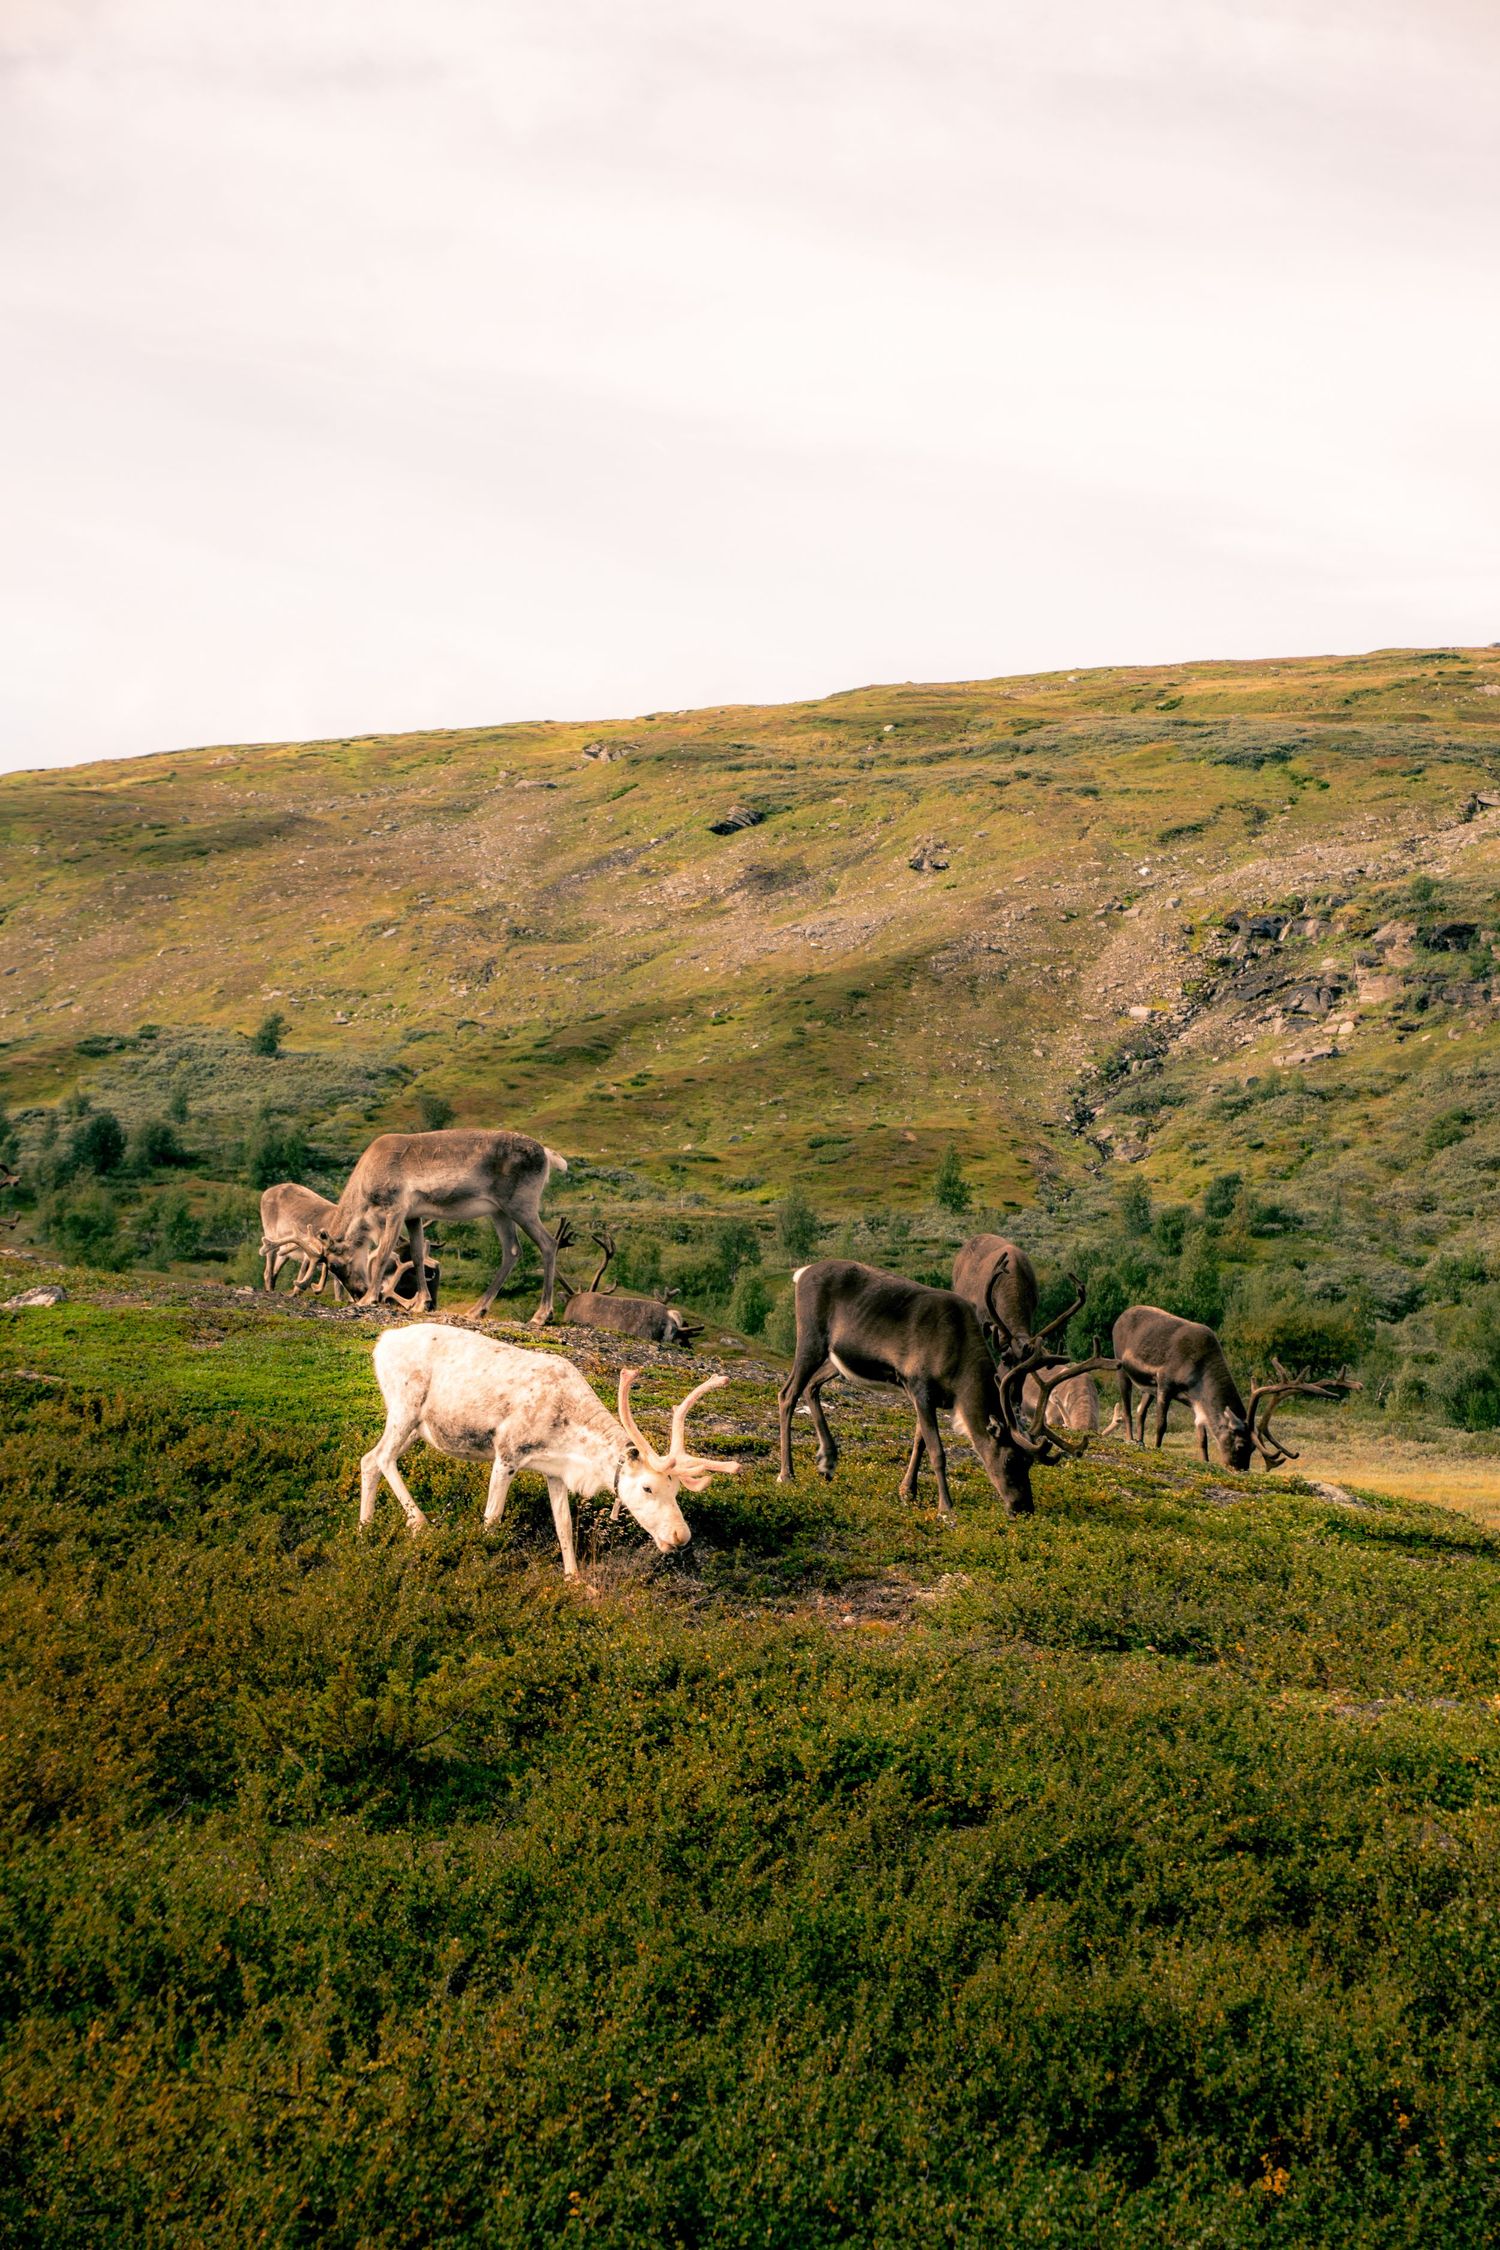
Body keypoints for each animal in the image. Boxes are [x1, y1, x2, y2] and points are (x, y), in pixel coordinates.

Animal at [318, 1128, 566, 1323]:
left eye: (334, 1265)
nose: (357, 1294)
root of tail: (546, 1153)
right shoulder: (413, 1216)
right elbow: (417, 1255)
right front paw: (421, 1303)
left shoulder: (395, 1210)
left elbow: (382, 1254)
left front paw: (369, 1299)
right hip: (499, 1211)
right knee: (512, 1250)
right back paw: (476, 1310)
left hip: (521, 1206)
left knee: (548, 1243)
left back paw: (542, 1315)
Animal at [360, 1324, 741, 1579]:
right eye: (648, 1488)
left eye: (677, 1491)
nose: (681, 1536)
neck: (573, 1448)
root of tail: (381, 1342)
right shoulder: (507, 1452)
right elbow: (492, 1518)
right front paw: (481, 1558)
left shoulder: (554, 1471)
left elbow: (564, 1527)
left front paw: (576, 1581)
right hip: (405, 1407)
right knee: (382, 1457)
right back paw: (419, 1522)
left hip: (416, 1426)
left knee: (368, 1459)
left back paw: (365, 1529)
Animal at [777, 1259, 1114, 1517]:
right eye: (1010, 1459)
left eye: (1030, 1464)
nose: (1023, 1508)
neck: (959, 1361)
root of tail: (801, 1273)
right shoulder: (919, 1385)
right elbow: (937, 1451)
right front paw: (945, 1507)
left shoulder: (932, 1398)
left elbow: (919, 1441)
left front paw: (907, 1491)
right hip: (810, 1338)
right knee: (787, 1394)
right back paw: (787, 1474)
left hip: (836, 1360)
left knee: (811, 1388)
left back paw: (827, 1462)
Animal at [1112, 1305, 1361, 1469]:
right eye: (1241, 1445)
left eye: (1253, 1448)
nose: (1240, 1469)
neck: (1198, 1372)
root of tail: (1121, 1316)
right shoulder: (1165, 1383)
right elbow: (1162, 1425)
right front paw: (1158, 1450)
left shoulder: (1195, 1402)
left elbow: (1202, 1438)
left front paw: (1205, 1461)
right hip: (1122, 1366)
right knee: (1127, 1408)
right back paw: (1131, 1438)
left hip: (1148, 1387)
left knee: (1140, 1410)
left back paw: (1140, 1441)